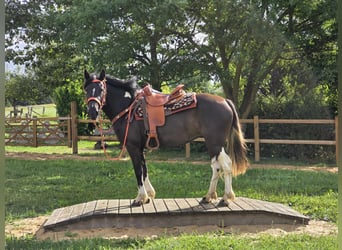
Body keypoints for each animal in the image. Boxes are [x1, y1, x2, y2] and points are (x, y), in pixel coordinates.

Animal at [83, 69, 248, 206]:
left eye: (101, 89)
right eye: (86, 89)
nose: (92, 111)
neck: (128, 107)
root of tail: (225, 101)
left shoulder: (133, 146)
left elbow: (138, 171)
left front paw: (140, 198)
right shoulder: (141, 148)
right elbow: (144, 169)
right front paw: (149, 195)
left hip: (215, 143)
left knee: (226, 165)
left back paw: (226, 198)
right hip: (213, 144)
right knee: (216, 167)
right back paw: (208, 196)